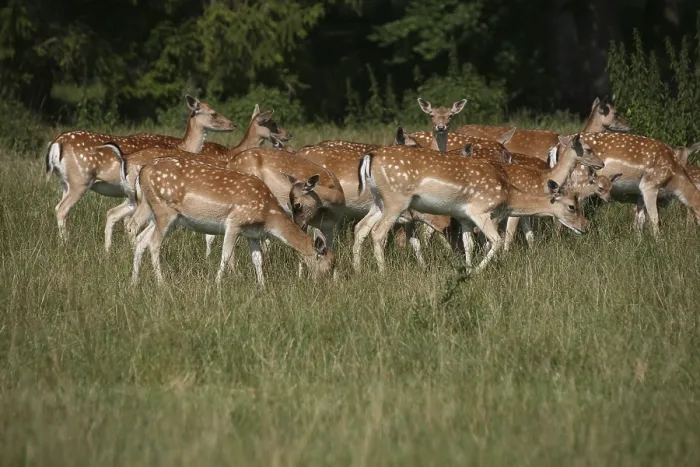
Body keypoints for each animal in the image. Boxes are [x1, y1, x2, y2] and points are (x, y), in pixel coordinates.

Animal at [45, 95, 237, 242]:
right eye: (213, 113)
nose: (233, 125)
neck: (183, 146)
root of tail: (57, 142)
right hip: (81, 180)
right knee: (62, 209)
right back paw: (66, 242)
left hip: (65, 182)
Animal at [129, 156, 335, 287]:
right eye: (331, 264)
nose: (323, 284)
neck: (268, 216)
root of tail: (142, 172)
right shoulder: (235, 222)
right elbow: (226, 255)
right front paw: (217, 284)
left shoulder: (253, 233)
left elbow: (258, 259)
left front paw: (263, 286)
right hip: (164, 211)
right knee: (154, 243)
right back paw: (161, 283)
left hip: (158, 215)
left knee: (141, 240)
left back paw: (134, 282)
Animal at [352, 146, 590, 274]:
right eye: (572, 206)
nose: (585, 227)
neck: (508, 195)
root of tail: (370, 156)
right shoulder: (480, 211)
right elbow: (495, 241)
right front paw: (476, 271)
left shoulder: (464, 217)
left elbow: (469, 244)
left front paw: (466, 269)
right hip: (396, 200)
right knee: (378, 232)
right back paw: (383, 273)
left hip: (379, 201)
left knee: (360, 228)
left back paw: (358, 270)